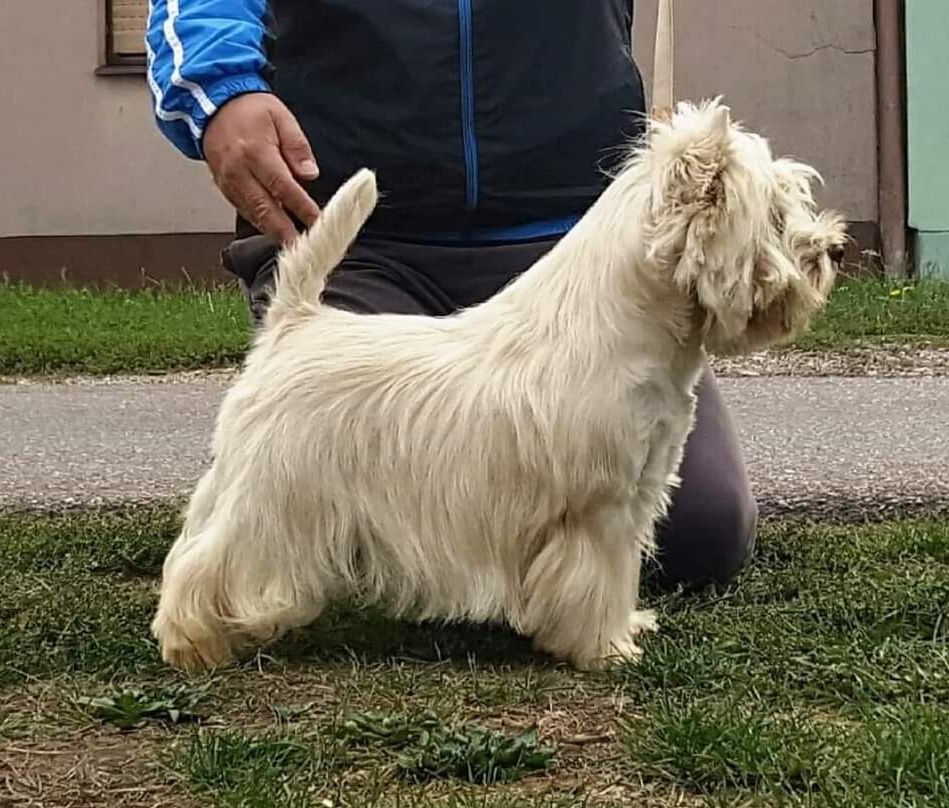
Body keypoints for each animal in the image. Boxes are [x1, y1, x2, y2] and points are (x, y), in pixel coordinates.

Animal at [154, 99, 844, 668]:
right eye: (776, 214)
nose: (832, 248)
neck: (627, 324)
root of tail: (293, 324)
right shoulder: (600, 507)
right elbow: (600, 578)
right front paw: (605, 648)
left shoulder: (637, 493)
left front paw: (627, 626)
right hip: (277, 490)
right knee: (206, 561)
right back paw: (193, 643)